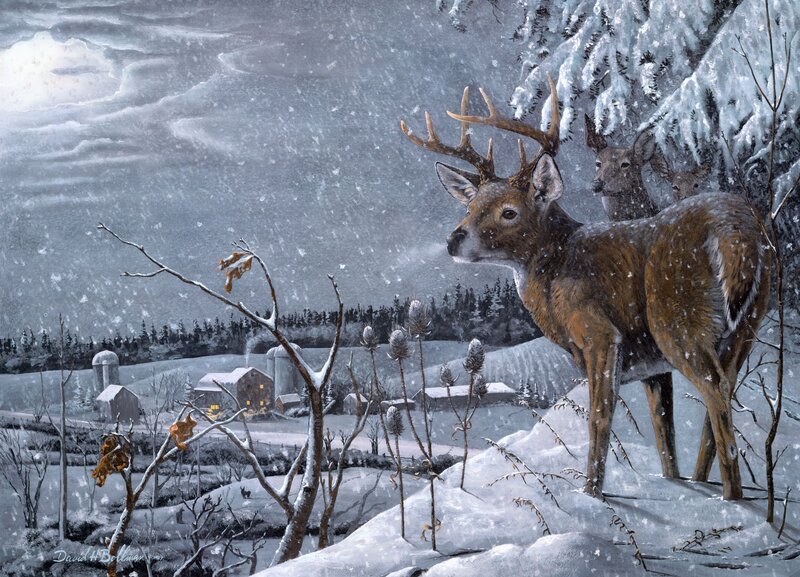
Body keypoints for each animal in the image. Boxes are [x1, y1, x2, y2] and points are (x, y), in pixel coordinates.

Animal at [400, 76, 770, 500]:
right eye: (469, 207)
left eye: (509, 212)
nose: (453, 240)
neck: (555, 279)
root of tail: (735, 227)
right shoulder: (652, 367)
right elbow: (664, 433)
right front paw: (674, 483)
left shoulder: (600, 334)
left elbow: (599, 417)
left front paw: (590, 492)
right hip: (747, 325)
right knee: (724, 395)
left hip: (677, 322)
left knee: (717, 395)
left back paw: (732, 499)